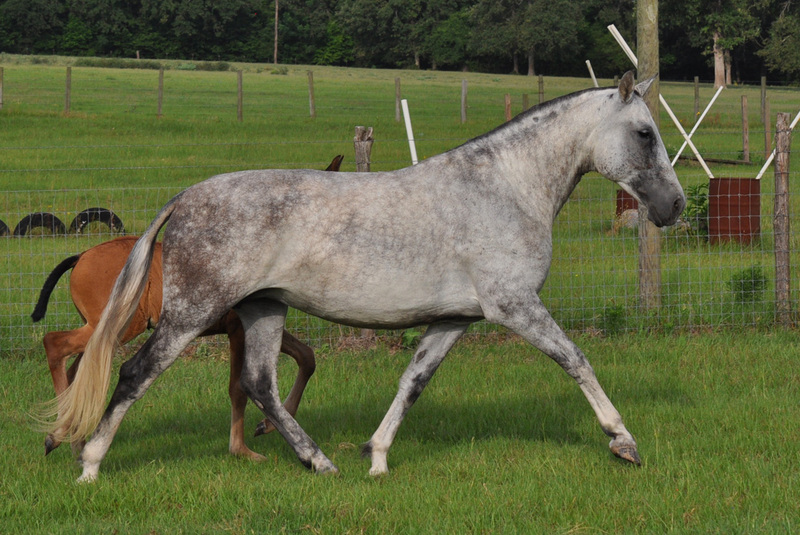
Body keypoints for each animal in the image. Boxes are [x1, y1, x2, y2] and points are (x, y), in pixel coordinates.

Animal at [34, 155, 342, 459]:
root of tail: (81, 256)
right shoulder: (237, 330)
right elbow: (238, 389)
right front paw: (241, 449)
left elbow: (306, 356)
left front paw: (266, 425)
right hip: (120, 326)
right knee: (56, 345)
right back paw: (62, 436)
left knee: (79, 371)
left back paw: (67, 435)